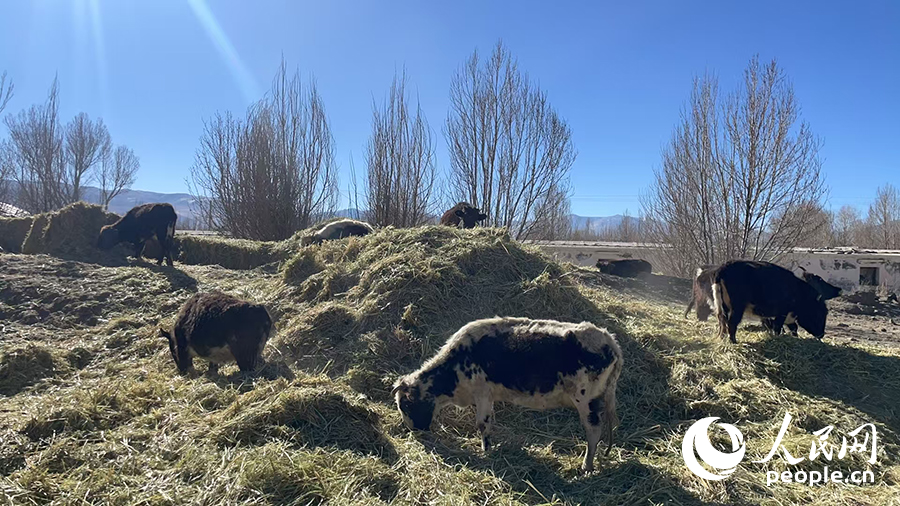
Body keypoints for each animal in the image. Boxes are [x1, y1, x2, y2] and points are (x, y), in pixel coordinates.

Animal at [394, 316, 624, 474]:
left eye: (405, 405)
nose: (414, 431)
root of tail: (608, 339)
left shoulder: (482, 393)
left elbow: (482, 424)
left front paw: (486, 451)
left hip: (585, 400)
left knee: (593, 430)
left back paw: (586, 466)